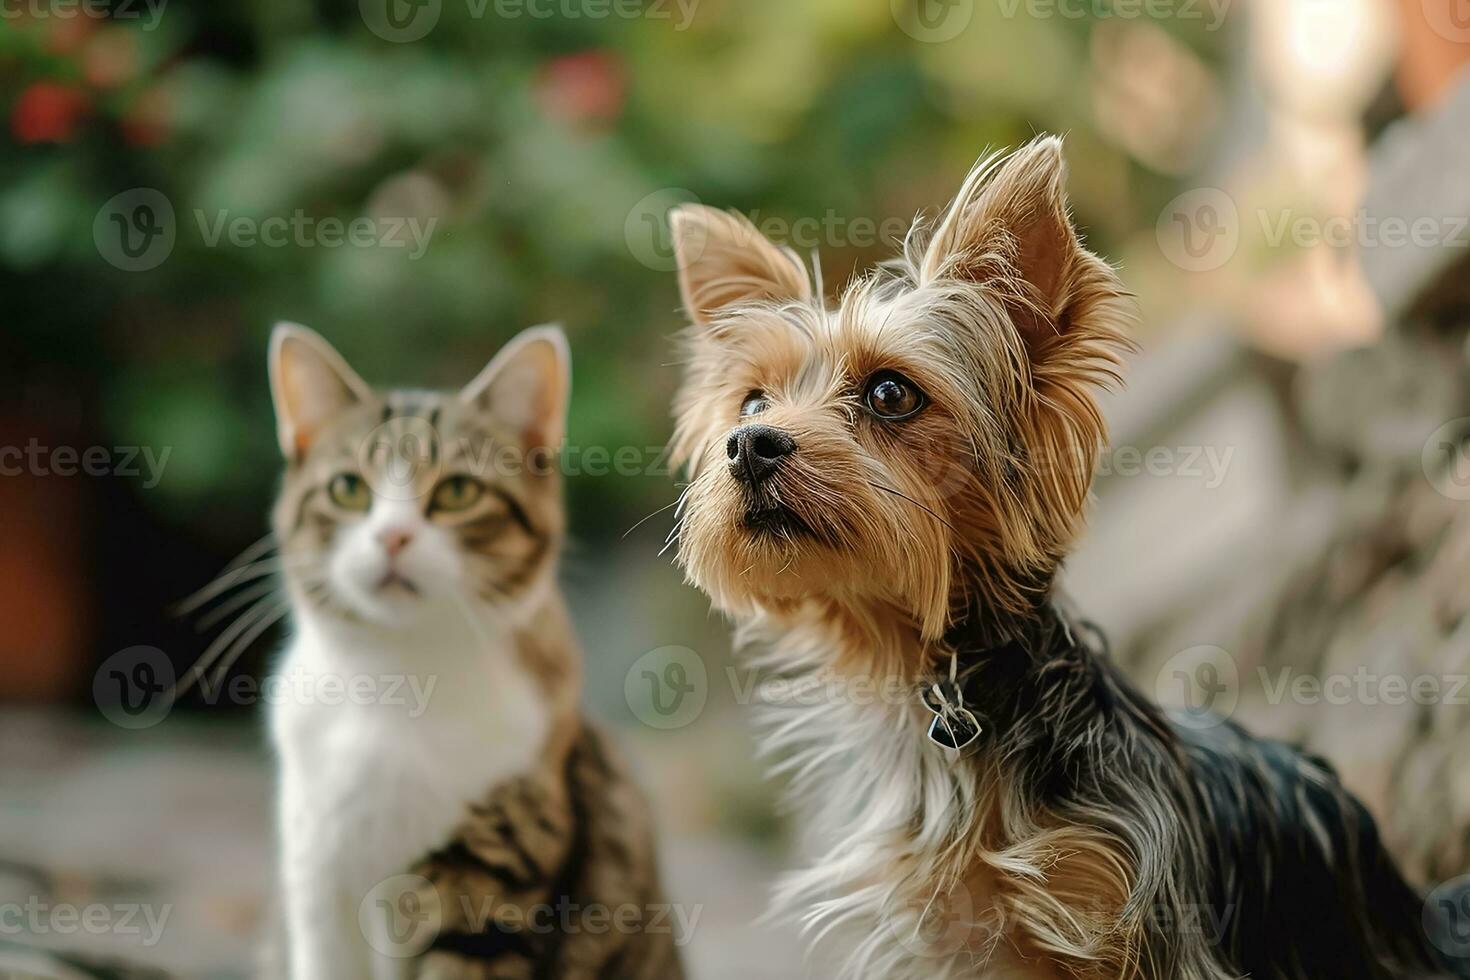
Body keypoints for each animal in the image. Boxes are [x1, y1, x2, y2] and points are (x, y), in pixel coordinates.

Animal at [266, 326, 682, 975]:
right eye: (348, 489)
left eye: (458, 491)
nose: (392, 536)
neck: (400, 680)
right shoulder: (316, 873)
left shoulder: (493, 879)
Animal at [667, 138, 1470, 980]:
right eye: (753, 402)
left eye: (891, 393)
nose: (748, 444)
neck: (922, 665)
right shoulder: (951, 941)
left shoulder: (1132, 921)